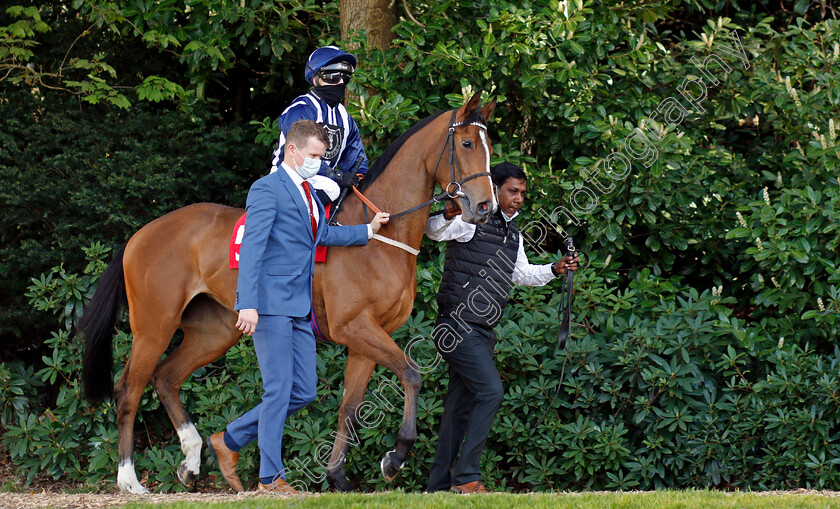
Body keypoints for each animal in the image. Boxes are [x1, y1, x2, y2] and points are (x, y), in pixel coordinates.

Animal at [77, 91, 498, 492]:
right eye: (466, 143)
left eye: (488, 144)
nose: (485, 206)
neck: (380, 235)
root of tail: (141, 234)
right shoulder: (355, 327)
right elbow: (411, 376)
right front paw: (395, 458)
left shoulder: (365, 338)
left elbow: (350, 406)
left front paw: (337, 476)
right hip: (154, 327)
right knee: (128, 391)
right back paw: (130, 480)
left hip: (215, 332)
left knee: (166, 378)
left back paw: (195, 460)